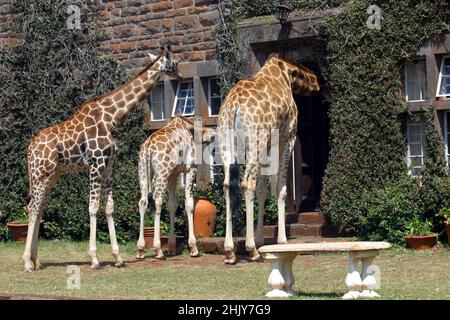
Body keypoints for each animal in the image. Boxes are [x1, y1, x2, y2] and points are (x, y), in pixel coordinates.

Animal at [22, 46, 181, 272]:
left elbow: (109, 208)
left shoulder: (108, 166)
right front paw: (95, 259)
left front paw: (118, 257)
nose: (180, 75)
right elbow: (93, 207)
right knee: (33, 207)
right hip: (40, 173)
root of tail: (29, 148)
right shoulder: (96, 164)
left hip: (52, 175)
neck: (112, 117)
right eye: (174, 63)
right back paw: (27, 262)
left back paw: (37, 261)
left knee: (38, 207)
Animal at [136, 115, 215, 260]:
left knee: (143, 202)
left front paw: (172, 247)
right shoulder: (190, 169)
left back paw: (140, 250)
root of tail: (148, 147)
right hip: (162, 173)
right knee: (157, 200)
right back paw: (158, 250)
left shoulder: (173, 174)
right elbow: (189, 204)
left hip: (143, 171)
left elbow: (172, 204)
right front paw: (193, 248)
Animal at [217, 53, 320, 264]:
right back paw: (252, 250)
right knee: (247, 183)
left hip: (226, 144)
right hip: (256, 140)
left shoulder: (267, 145)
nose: (318, 86)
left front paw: (260, 239)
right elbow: (280, 188)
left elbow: (263, 188)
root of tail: (233, 107)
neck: (285, 73)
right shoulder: (287, 138)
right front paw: (281, 240)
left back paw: (230, 251)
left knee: (227, 185)